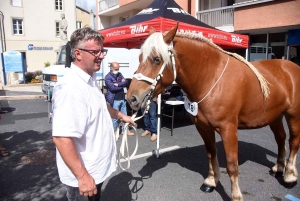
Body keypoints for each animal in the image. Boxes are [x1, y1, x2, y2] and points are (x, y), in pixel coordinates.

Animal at [126, 24, 300, 200]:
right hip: (275, 116)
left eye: (156, 59)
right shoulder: (203, 127)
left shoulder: (228, 129)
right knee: (280, 138)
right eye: (140, 58)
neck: (212, 78)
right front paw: (210, 182)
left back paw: (290, 176)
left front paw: (236, 195)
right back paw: (278, 168)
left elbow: (232, 164)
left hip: (293, 115)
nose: (131, 98)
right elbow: (211, 154)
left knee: (293, 141)